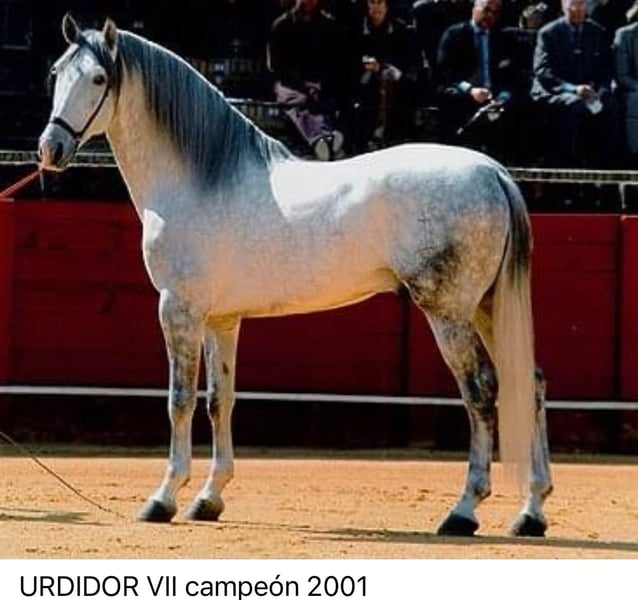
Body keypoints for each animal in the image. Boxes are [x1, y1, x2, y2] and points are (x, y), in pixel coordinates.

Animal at [38, 14, 552, 537]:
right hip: (485, 308)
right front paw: (209, 499)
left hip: (449, 313)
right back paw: (530, 511)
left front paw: (162, 499)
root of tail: (493, 173)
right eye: (56, 73)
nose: (50, 149)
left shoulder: (178, 309)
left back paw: (464, 510)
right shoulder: (221, 320)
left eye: (98, 79)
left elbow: (180, 400)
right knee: (529, 383)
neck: (199, 179)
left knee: (481, 391)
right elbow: (220, 400)